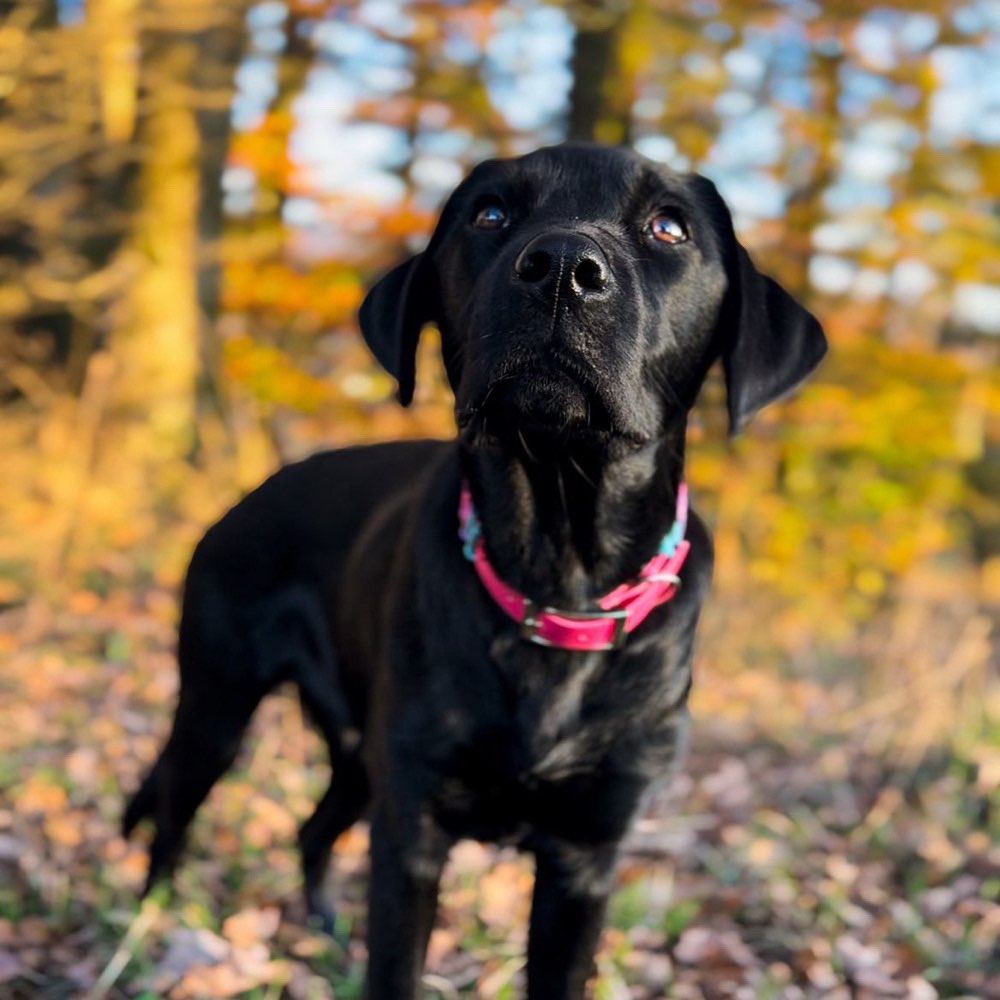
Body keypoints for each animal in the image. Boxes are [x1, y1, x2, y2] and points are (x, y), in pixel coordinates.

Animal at [123, 143, 828, 1000]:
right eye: (489, 213)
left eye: (669, 227)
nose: (562, 268)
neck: (557, 574)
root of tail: (246, 498)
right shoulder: (413, 831)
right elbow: (394, 970)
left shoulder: (583, 858)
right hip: (218, 707)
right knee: (171, 818)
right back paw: (151, 926)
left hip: (356, 752)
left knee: (310, 827)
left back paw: (321, 928)